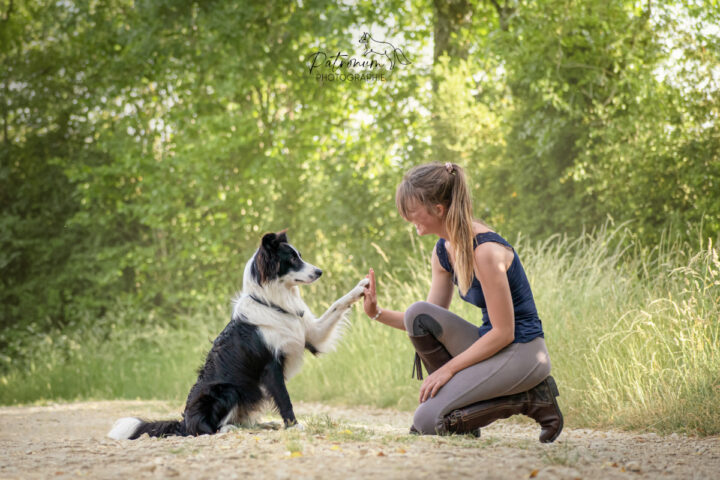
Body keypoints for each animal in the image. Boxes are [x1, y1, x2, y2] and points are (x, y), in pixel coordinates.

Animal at [109, 231, 368, 440]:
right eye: (293, 259)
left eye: (300, 255)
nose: (319, 271)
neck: (273, 303)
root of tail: (183, 422)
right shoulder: (270, 366)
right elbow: (284, 398)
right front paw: (294, 426)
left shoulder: (313, 335)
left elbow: (337, 304)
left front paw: (362, 287)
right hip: (227, 390)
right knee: (206, 428)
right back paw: (228, 429)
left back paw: (263, 425)